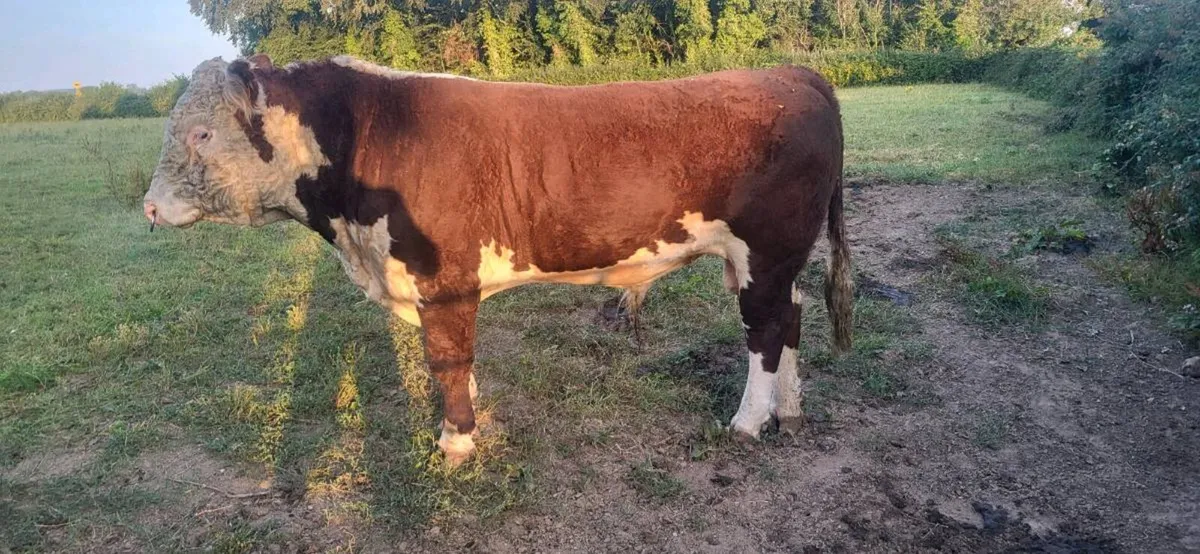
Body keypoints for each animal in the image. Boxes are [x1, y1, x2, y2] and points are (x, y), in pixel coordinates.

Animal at [143, 54, 852, 466]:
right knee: (789, 320)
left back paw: (749, 421)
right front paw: (471, 415)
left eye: (202, 132)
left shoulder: (442, 281)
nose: (148, 207)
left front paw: (456, 440)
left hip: (765, 250)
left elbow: (447, 360)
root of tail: (791, 74)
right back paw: (789, 412)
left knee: (763, 331)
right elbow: (456, 364)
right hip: (778, 257)